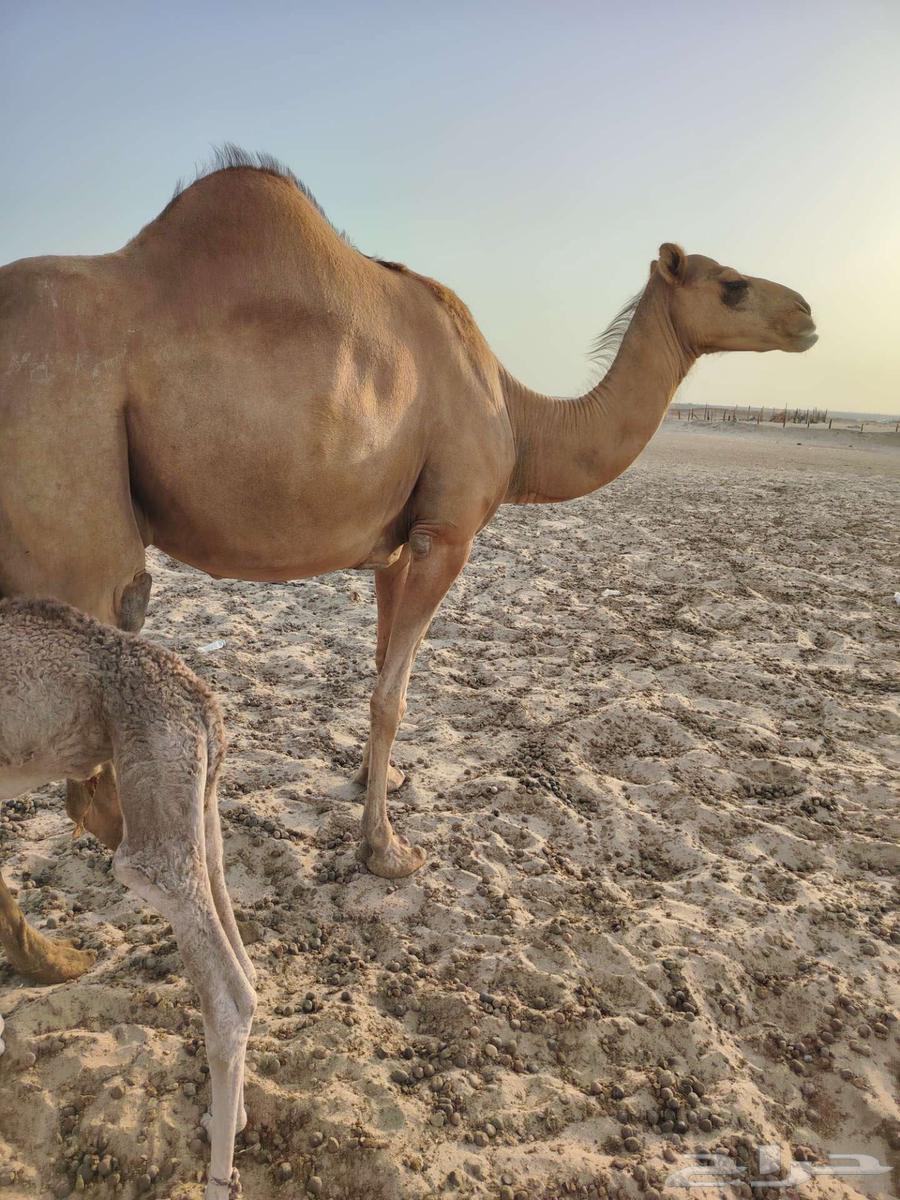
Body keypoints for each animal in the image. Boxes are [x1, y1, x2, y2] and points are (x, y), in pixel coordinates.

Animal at [0, 148, 817, 968]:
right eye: (731, 284)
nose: (808, 315)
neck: (520, 420)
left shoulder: (395, 545)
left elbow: (378, 672)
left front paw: (370, 782)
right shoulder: (446, 535)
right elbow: (394, 694)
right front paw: (386, 851)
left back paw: (49, 955)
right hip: (74, 502)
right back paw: (76, 950)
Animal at [0, 597, 255, 1200]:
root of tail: (200, 698)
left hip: (151, 813)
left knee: (228, 997)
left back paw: (217, 1178)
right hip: (198, 805)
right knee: (244, 958)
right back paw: (228, 1120)